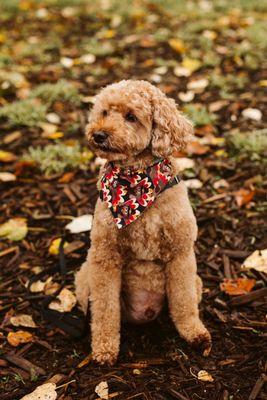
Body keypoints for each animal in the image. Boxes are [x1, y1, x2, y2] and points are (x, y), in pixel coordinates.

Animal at [75, 79, 211, 364]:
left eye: (131, 117)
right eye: (104, 112)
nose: (99, 134)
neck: (136, 186)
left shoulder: (181, 254)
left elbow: (184, 303)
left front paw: (195, 333)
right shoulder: (104, 257)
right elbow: (104, 310)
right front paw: (104, 348)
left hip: (197, 281)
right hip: (85, 277)